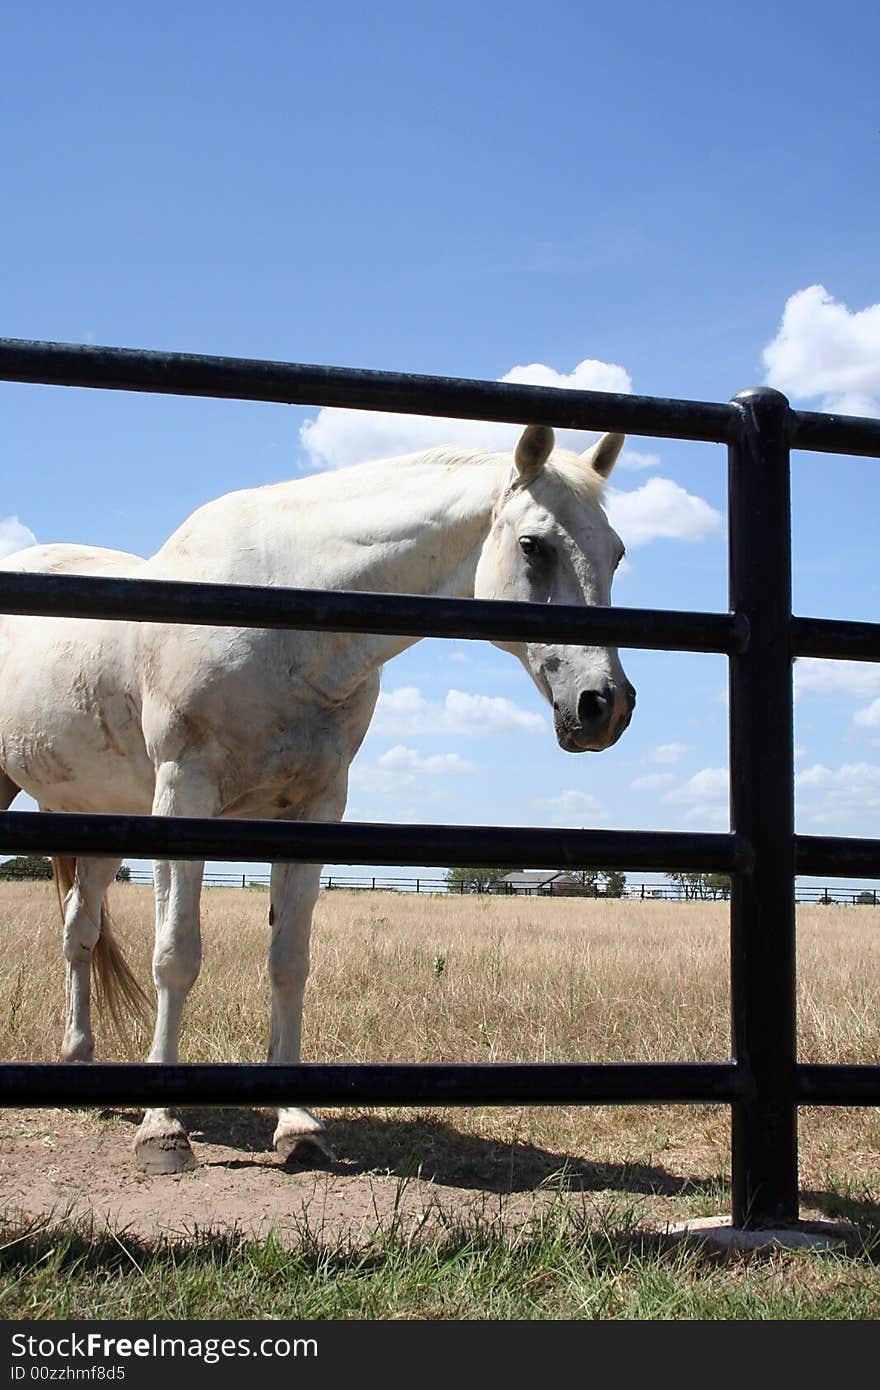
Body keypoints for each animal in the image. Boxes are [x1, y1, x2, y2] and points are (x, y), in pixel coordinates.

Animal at [0, 422, 631, 1173]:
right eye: (534, 545)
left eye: (617, 552)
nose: (603, 705)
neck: (289, 614)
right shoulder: (184, 795)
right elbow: (176, 955)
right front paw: (163, 1128)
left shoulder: (312, 810)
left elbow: (289, 963)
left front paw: (297, 1123)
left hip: (100, 816)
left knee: (79, 933)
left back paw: (79, 1064)